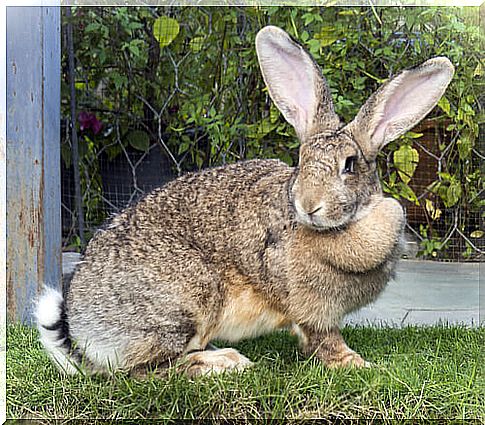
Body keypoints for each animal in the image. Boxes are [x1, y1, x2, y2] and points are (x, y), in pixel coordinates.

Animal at [35, 25, 454, 378]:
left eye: (349, 165)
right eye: (301, 161)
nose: (309, 205)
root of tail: (82, 330)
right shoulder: (310, 307)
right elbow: (324, 338)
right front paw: (355, 363)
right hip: (185, 300)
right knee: (145, 371)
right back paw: (223, 362)